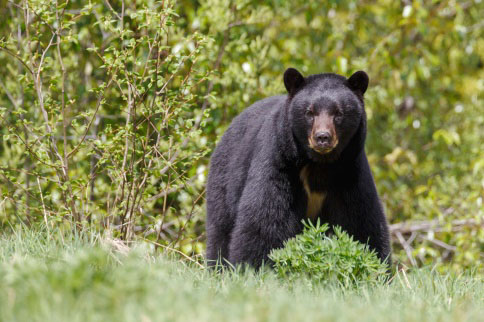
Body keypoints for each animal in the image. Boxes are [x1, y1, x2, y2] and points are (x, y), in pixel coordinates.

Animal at [206, 67, 392, 266]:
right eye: (309, 112)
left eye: (338, 113)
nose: (322, 137)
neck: (319, 164)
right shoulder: (279, 162)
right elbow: (265, 219)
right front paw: (252, 266)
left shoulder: (349, 171)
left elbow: (361, 222)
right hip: (225, 179)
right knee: (220, 229)